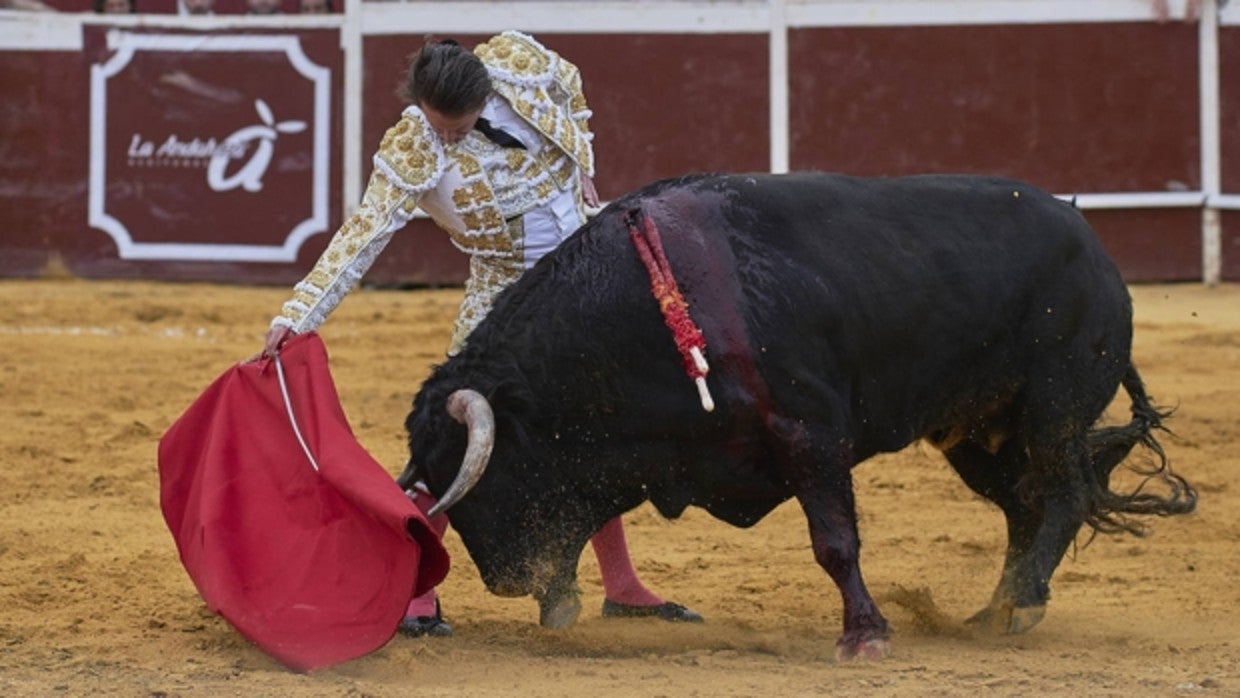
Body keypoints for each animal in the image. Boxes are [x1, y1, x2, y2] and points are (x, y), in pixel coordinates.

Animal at [396, 172, 1190, 659]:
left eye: (478, 474)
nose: (505, 579)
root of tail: (1093, 243)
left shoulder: (810, 434)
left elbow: (835, 542)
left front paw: (864, 636)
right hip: (973, 432)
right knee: (1026, 506)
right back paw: (993, 612)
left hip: (1053, 410)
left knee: (1064, 494)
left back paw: (1020, 606)